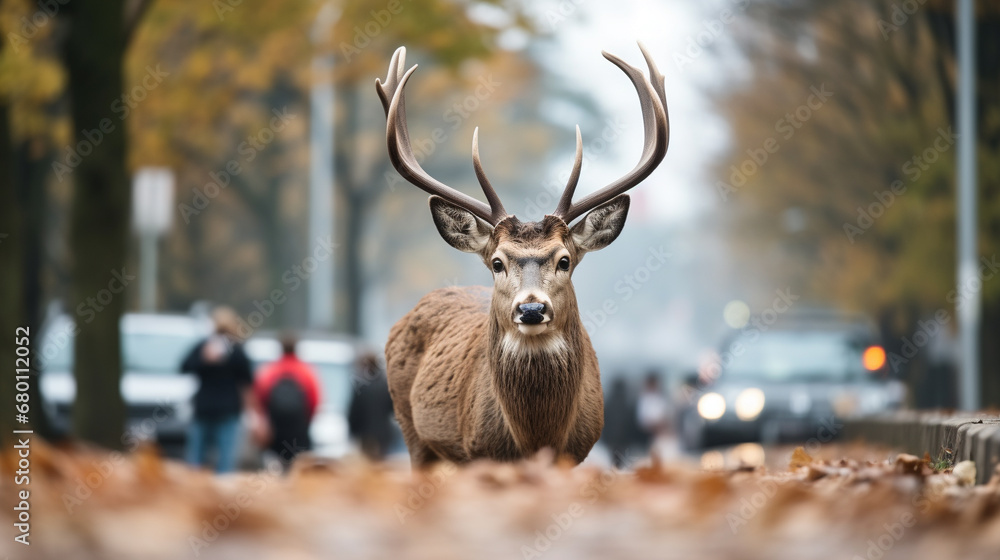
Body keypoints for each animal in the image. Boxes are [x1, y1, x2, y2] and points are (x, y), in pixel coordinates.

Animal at [377, 43, 669, 468]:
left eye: (564, 260)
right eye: (497, 262)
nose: (531, 308)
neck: (535, 439)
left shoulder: (577, 453)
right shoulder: (479, 451)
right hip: (412, 429)